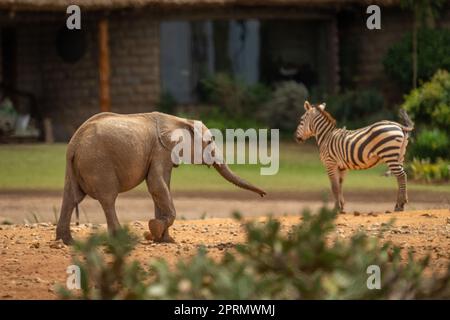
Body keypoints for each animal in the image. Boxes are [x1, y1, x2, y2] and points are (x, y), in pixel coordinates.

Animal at [56, 111, 268, 244]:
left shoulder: (163, 152)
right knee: (108, 199)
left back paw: (67, 242)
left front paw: (164, 240)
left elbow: (160, 187)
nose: (264, 195)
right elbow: (157, 184)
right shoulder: (161, 150)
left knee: (71, 197)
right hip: (98, 163)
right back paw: (123, 240)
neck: (181, 120)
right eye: (209, 142)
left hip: (77, 166)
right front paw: (154, 230)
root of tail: (74, 144)